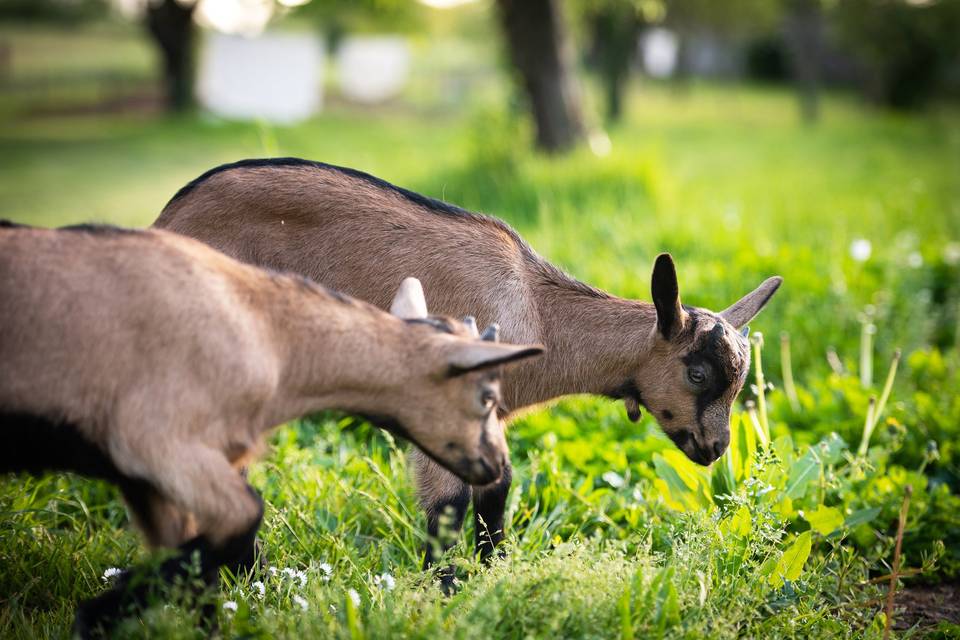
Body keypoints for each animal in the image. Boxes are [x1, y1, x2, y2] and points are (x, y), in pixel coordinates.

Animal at [0, 222, 540, 632]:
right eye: (486, 396)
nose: (497, 466)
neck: (269, 333)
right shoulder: (159, 443)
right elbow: (243, 521)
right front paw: (92, 616)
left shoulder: (149, 480)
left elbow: (200, 571)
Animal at [152, 158, 780, 584]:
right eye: (698, 375)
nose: (716, 448)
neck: (537, 310)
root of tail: (166, 220)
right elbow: (448, 506)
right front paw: (445, 591)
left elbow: (496, 490)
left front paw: (492, 574)